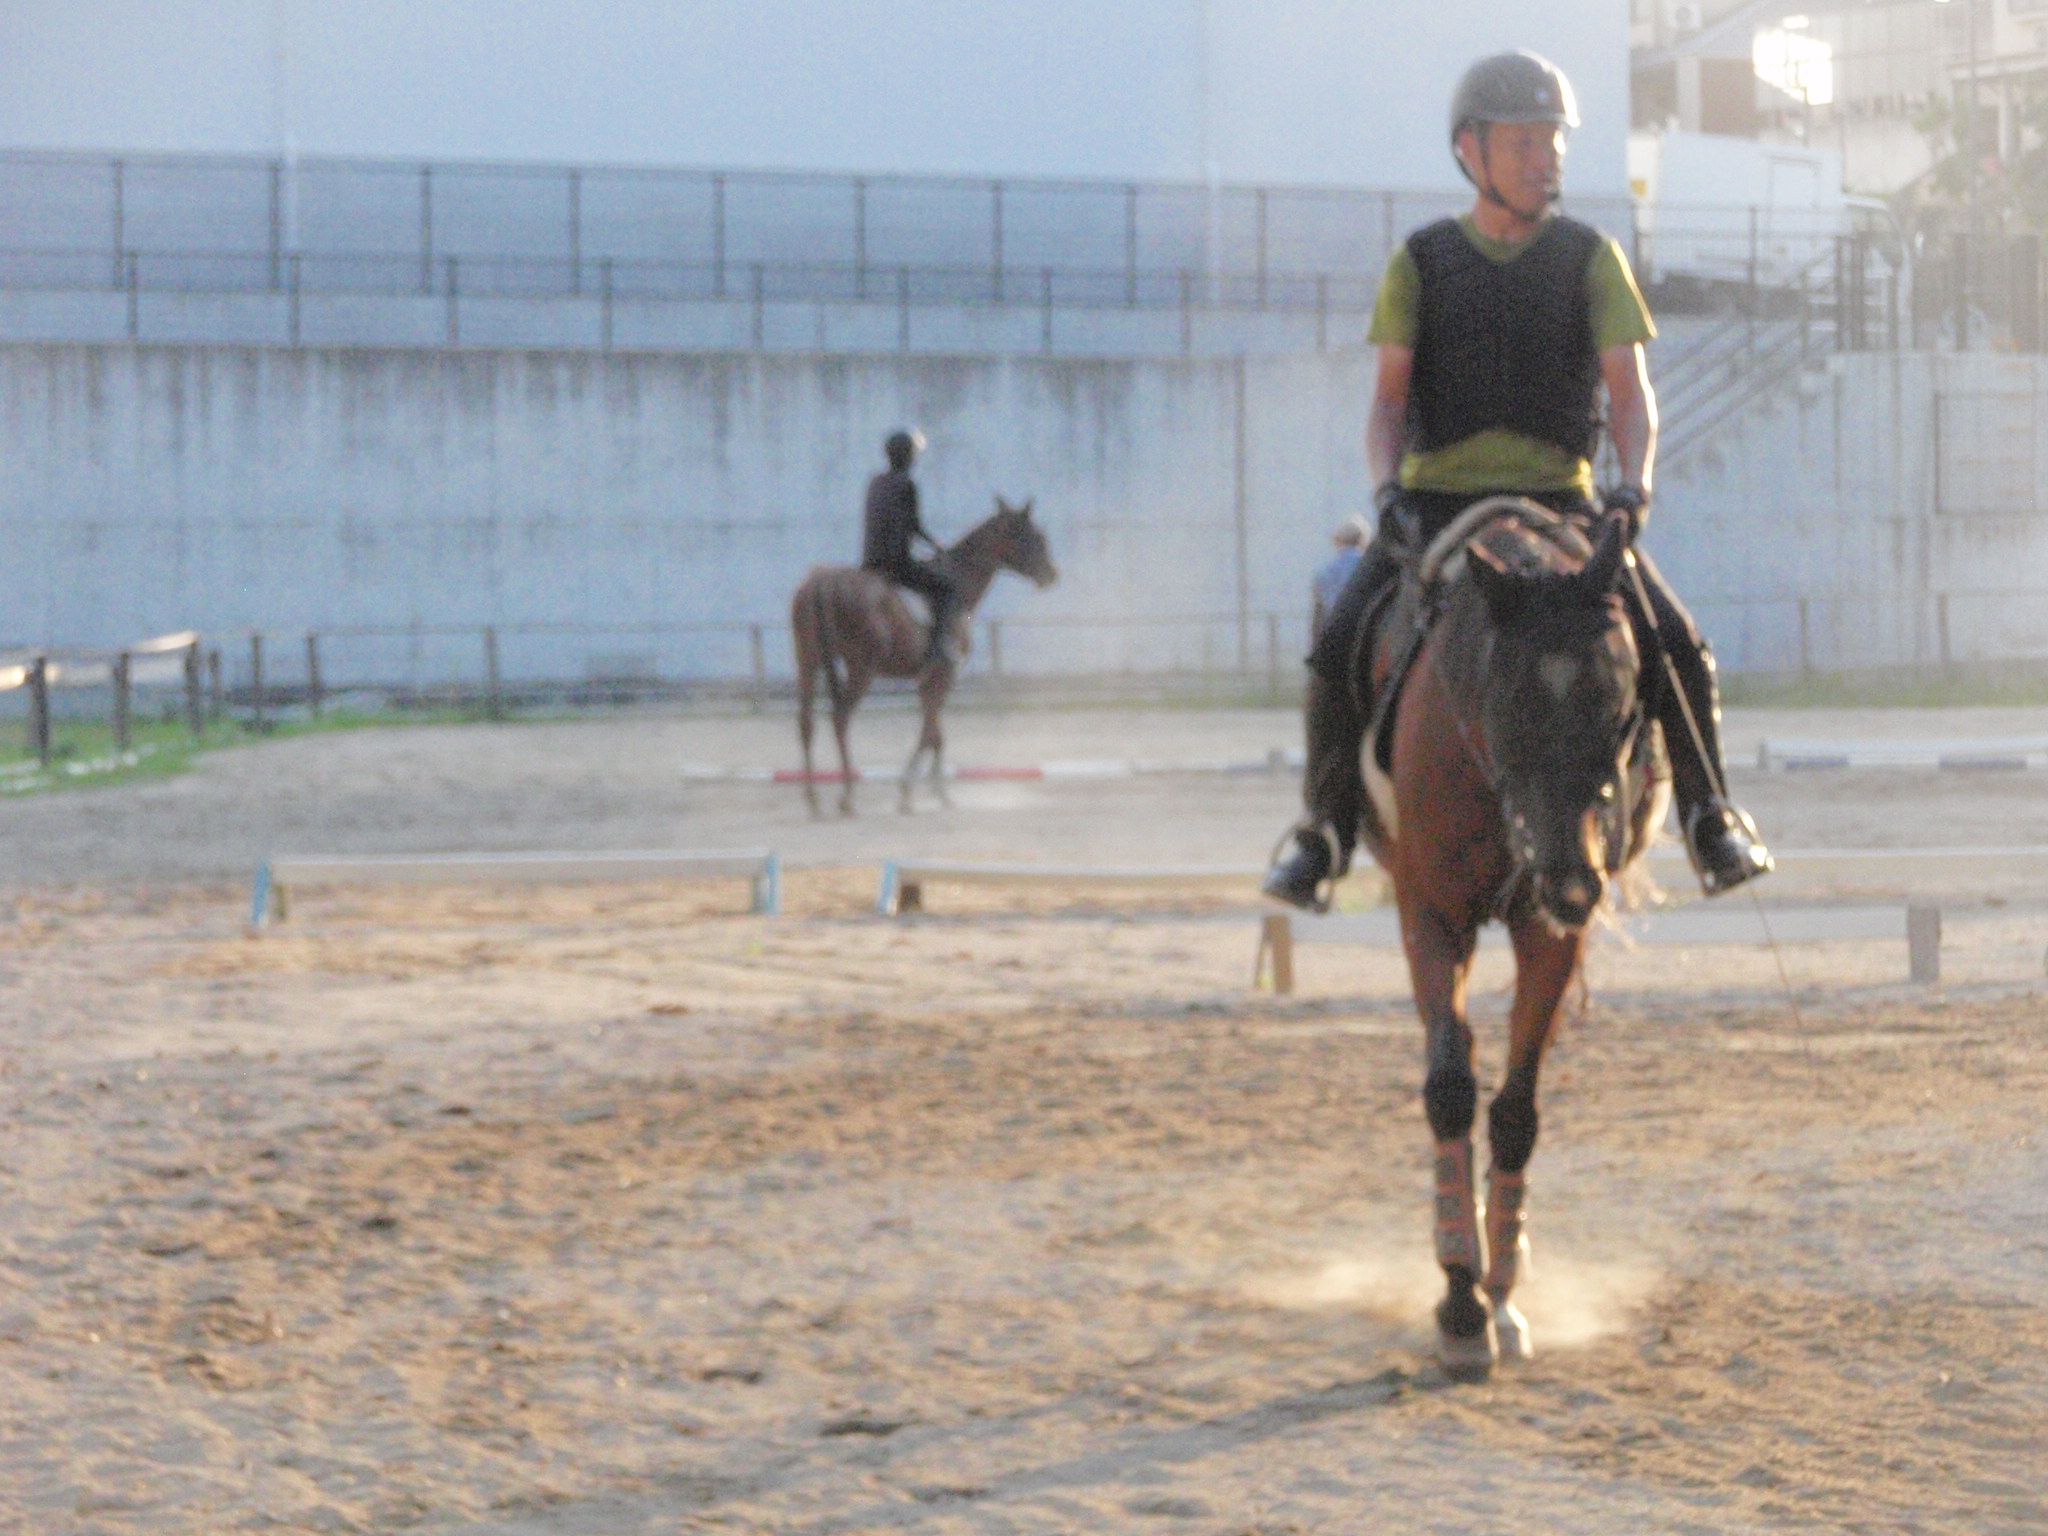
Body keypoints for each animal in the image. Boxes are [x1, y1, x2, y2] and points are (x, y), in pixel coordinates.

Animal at [791, 496, 1057, 816]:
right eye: (1035, 536)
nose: (1052, 575)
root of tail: (823, 580)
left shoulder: (927, 678)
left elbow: (935, 733)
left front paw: (932, 791)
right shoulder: (944, 675)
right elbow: (931, 731)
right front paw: (916, 791)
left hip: (808, 661)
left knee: (806, 721)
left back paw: (812, 798)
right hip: (861, 668)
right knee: (840, 717)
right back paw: (847, 796)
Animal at [1352, 498, 1668, 1381]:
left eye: (1624, 705)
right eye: (1508, 704)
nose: (1571, 879)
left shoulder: (1547, 931)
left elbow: (1517, 1109)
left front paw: (1499, 1291)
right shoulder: (1428, 914)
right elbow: (1450, 1088)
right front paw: (1460, 1300)